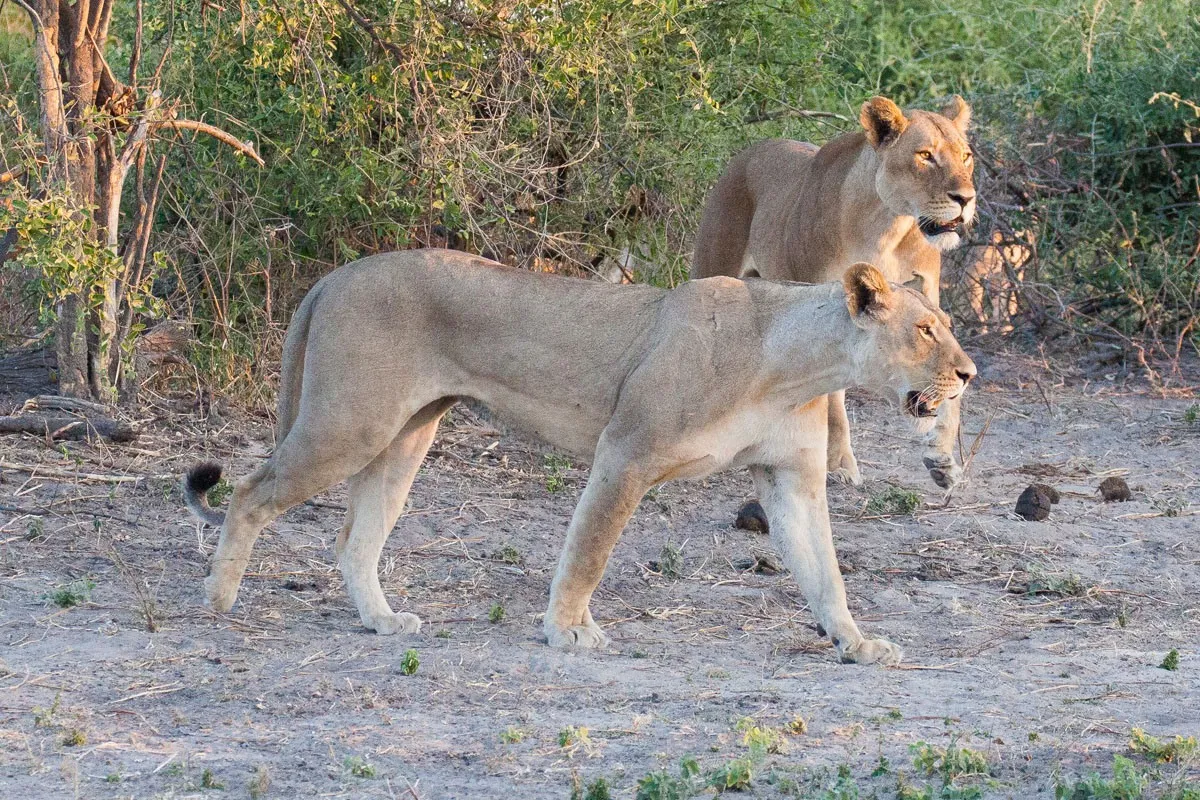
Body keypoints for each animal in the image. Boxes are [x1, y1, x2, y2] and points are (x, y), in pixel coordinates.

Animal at [184, 249, 975, 665]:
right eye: (925, 330)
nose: (969, 373)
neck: (796, 363)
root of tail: (338, 274)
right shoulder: (627, 449)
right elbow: (590, 549)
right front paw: (567, 630)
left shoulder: (792, 480)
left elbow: (825, 574)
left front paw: (858, 643)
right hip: (349, 423)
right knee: (250, 490)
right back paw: (218, 598)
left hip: (405, 435)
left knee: (355, 539)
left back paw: (381, 621)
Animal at [692, 95, 977, 490]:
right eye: (925, 155)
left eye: (965, 156)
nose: (966, 199)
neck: (888, 226)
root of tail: (747, 152)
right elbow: (833, 399)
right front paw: (841, 464)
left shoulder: (927, 300)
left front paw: (943, 459)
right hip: (713, 265)